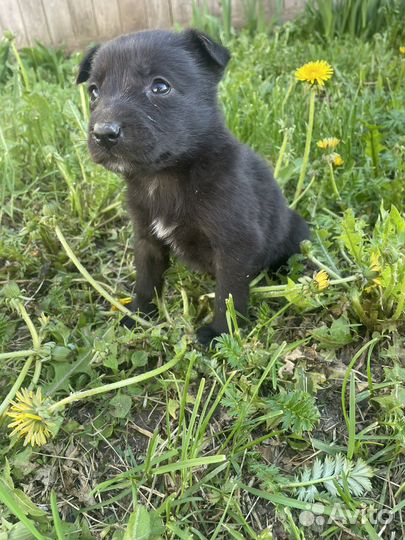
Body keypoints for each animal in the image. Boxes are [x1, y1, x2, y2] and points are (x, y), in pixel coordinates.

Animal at [76, 28, 310, 346]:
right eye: (94, 92)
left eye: (160, 87)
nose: (103, 133)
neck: (162, 178)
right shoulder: (146, 239)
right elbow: (146, 280)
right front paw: (139, 315)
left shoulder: (235, 245)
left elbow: (228, 294)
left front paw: (221, 333)